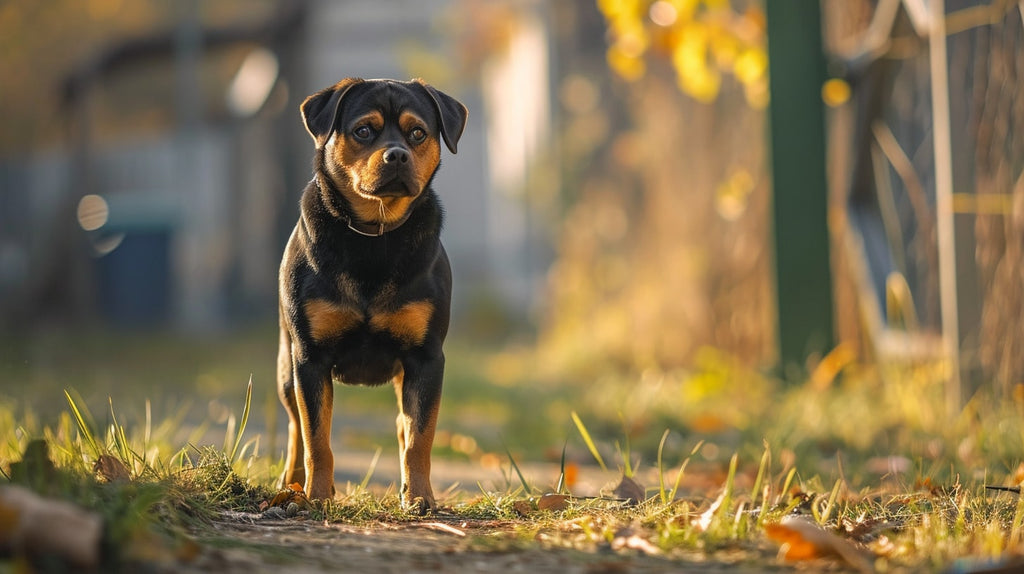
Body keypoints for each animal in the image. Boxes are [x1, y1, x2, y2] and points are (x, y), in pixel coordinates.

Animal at [280, 76, 471, 509]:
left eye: (418, 133)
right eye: (364, 131)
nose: (397, 155)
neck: (374, 233)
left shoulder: (425, 358)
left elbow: (420, 437)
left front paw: (420, 497)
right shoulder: (309, 358)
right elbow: (317, 438)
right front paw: (318, 496)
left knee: (403, 425)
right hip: (286, 367)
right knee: (296, 426)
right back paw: (293, 484)